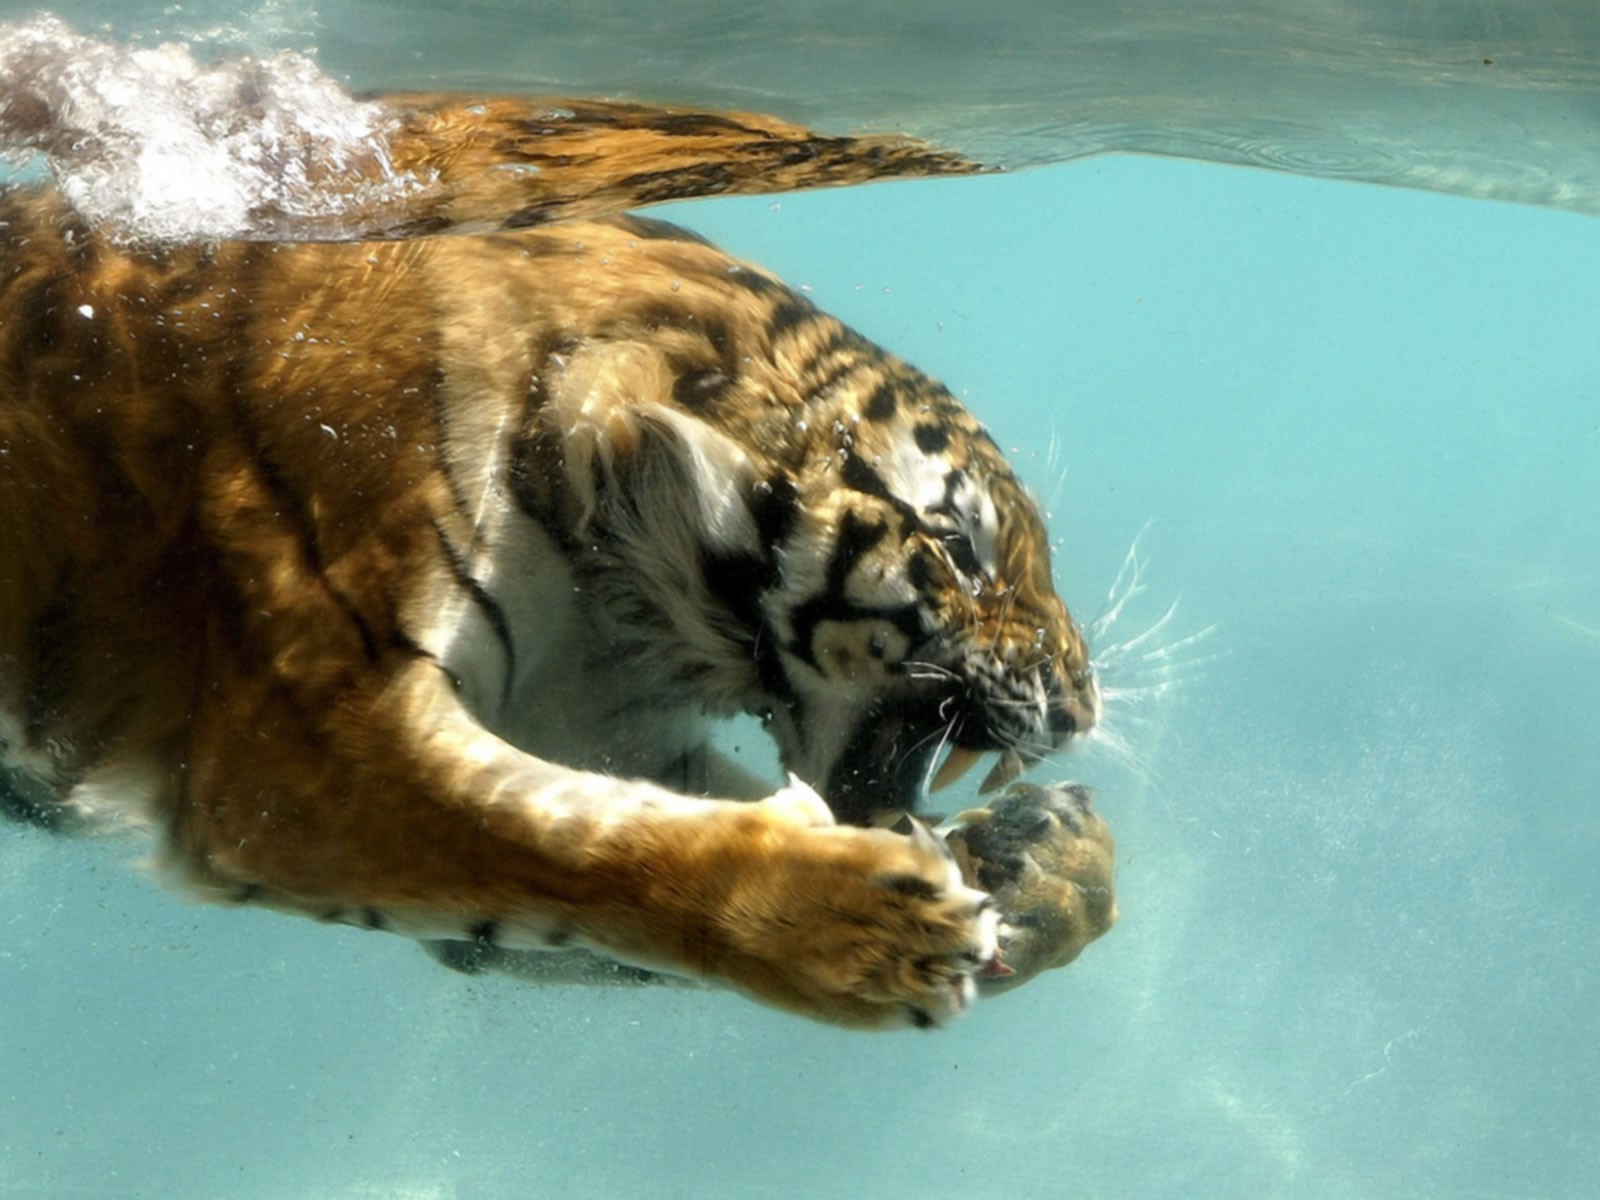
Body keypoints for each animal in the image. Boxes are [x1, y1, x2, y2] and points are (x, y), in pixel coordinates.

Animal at [0, 91, 1116, 1029]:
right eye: (962, 546)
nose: (1079, 709)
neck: (611, 583)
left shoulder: (595, 722)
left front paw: (1047, 869)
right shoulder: (302, 750)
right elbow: (581, 845)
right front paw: (870, 933)